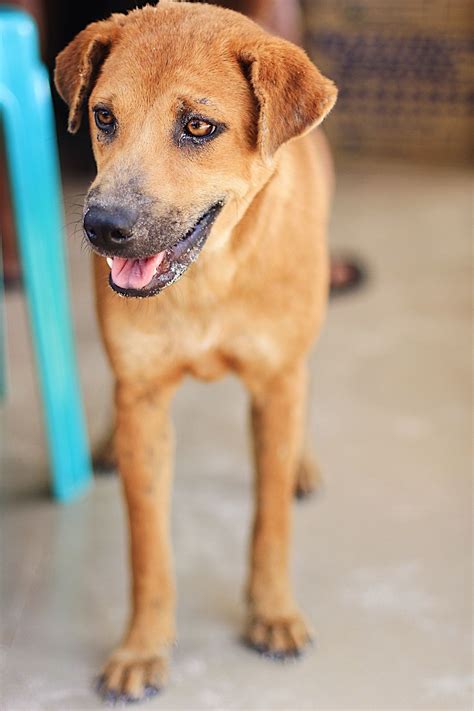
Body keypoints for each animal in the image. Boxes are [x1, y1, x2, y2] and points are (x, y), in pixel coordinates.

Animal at [55, 0, 336, 700]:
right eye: (104, 116)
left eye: (199, 126)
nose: (102, 228)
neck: (211, 274)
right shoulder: (145, 396)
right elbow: (147, 547)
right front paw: (143, 647)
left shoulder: (275, 381)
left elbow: (270, 522)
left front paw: (273, 613)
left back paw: (302, 462)